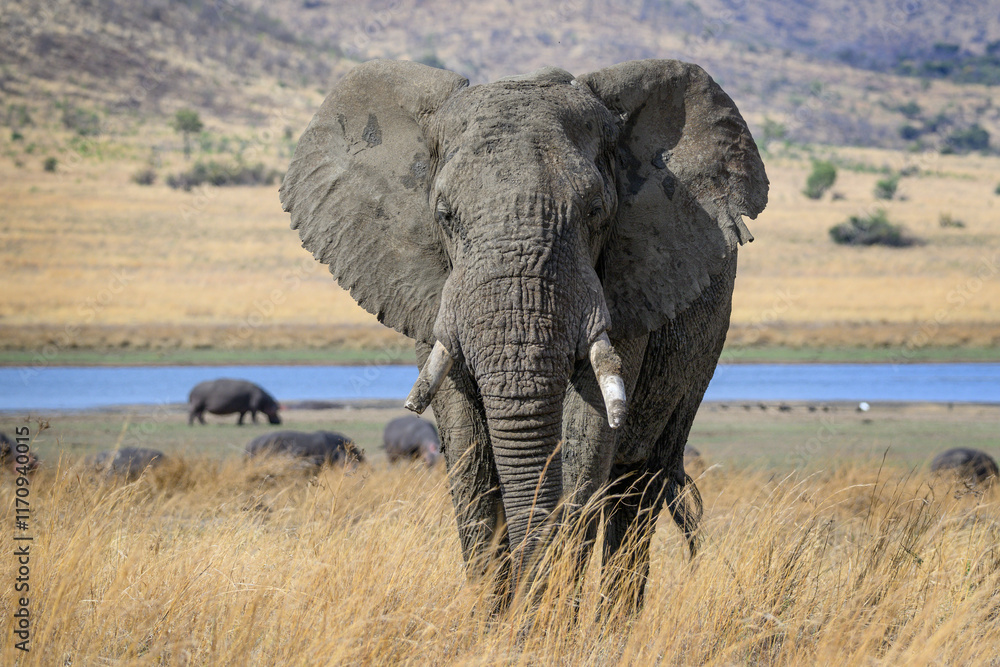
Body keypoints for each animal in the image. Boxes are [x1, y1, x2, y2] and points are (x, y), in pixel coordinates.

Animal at [280, 58, 768, 611]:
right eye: (444, 215)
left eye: (595, 212)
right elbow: (467, 448)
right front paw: (494, 621)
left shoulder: (627, 282)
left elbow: (583, 438)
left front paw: (543, 619)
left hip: (702, 346)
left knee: (637, 486)